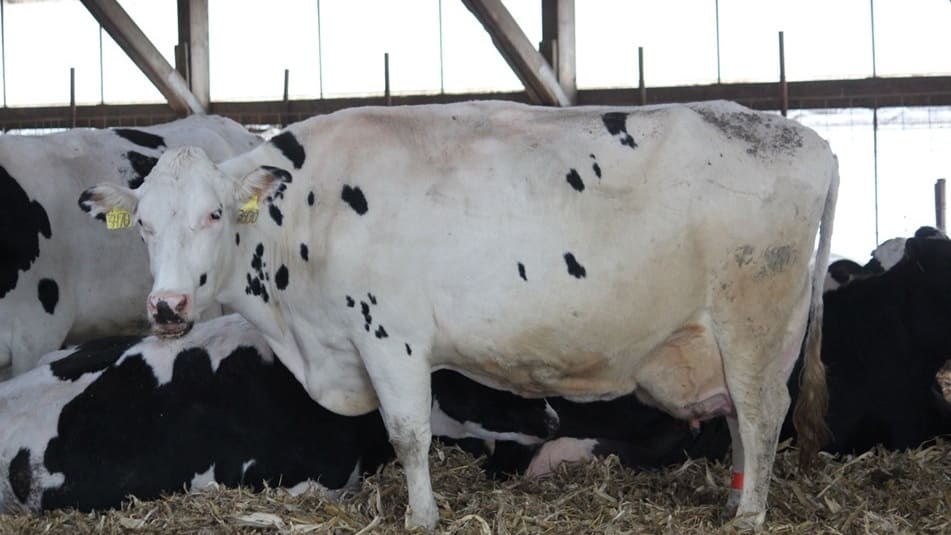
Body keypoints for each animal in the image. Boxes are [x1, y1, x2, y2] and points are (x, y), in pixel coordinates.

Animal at [79, 100, 839, 530]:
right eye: (143, 224)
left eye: (213, 214)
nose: (167, 307)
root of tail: (805, 138)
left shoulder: (391, 336)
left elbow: (409, 435)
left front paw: (421, 516)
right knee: (741, 421)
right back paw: (734, 501)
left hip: (753, 319)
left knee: (762, 415)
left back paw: (749, 516)